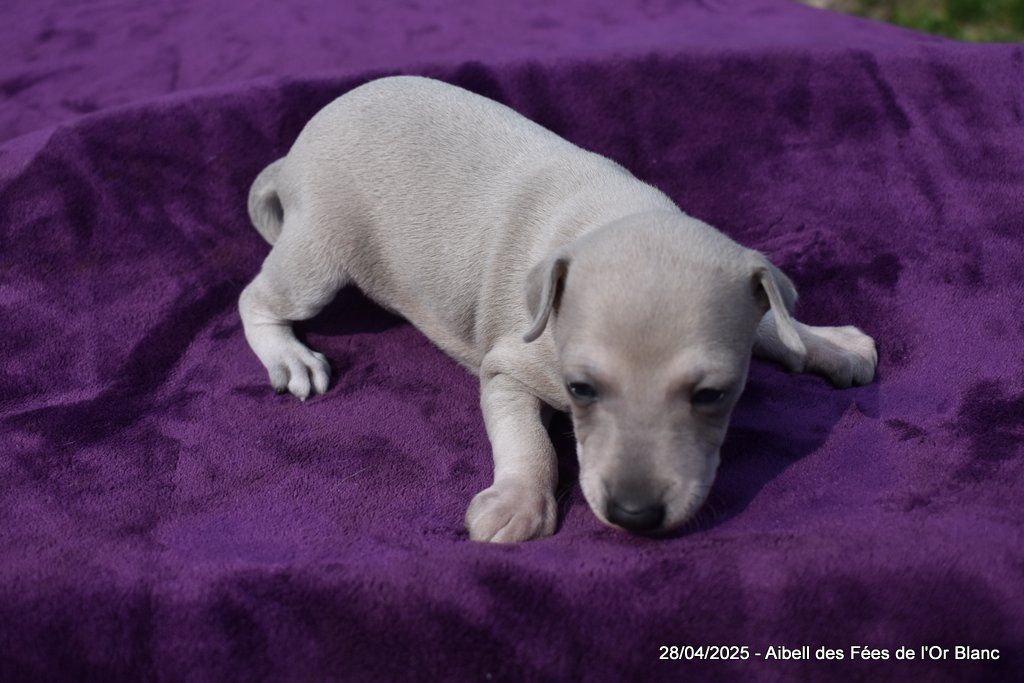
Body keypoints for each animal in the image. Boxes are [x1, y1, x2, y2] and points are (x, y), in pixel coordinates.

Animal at [239, 76, 877, 542]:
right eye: (580, 390)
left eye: (712, 395)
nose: (635, 515)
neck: (614, 217)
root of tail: (293, 153)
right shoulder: (508, 365)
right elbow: (528, 439)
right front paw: (517, 503)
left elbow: (771, 320)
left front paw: (828, 342)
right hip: (322, 251)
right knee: (258, 297)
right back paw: (289, 356)